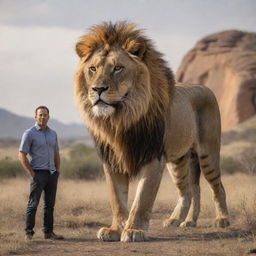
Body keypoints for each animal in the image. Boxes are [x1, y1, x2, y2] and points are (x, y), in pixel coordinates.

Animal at [74, 21, 230, 242]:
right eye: (92, 68)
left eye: (118, 68)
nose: (98, 89)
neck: (120, 121)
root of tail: (204, 87)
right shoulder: (111, 160)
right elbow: (117, 199)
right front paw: (114, 229)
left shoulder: (153, 156)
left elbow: (142, 199)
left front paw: (134, 230)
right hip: (179, 160)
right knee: (190, 190)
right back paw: (183, 220)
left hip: (208, 152)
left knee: (217, 186)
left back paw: (222, 219)